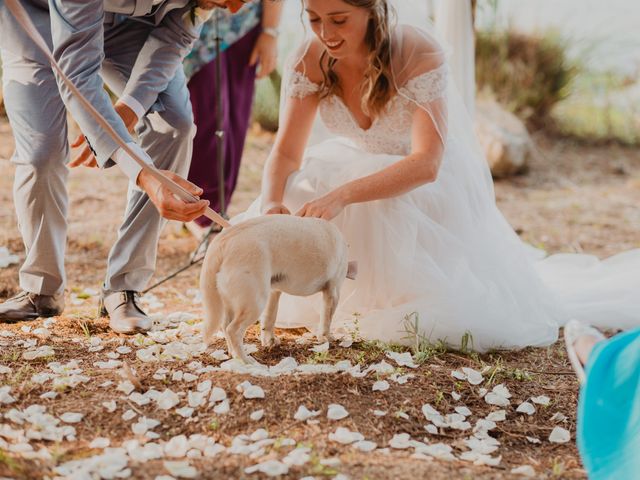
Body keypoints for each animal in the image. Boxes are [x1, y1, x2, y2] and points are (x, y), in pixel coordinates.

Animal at [200, 215, 356, 364]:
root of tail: (223, 241)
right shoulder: (333, 292)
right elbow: (327, 319)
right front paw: (327, 337)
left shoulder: (274, 292)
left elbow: (269, 319)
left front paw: (269, 341)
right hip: (255, 302)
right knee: (233, 330)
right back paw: (244, 360)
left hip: (234, 303)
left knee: (225, 326)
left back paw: (233, 354)